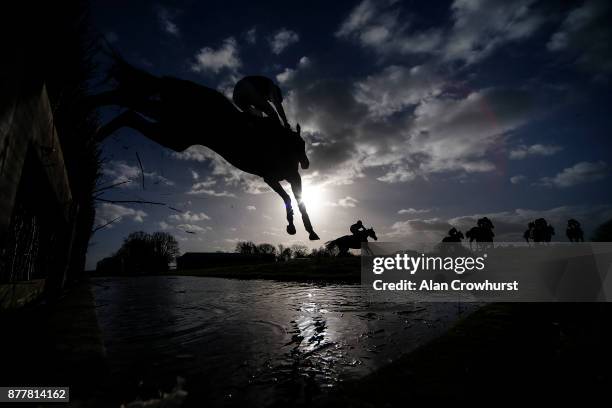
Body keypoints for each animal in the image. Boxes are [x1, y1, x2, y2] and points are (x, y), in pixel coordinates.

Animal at [92, 54, 320, 239]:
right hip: (173, 129)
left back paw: (96, 120)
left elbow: (298, 200)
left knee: (130, 107)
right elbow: (289, 198)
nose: (306, 164)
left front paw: (307, 229)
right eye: (299, 145)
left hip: (174, 129)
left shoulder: (290, 177)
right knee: (129, 109)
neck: (281, 145)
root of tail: (181, 85)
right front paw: (293, 226)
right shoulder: (270, 176)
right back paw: (96, 118)